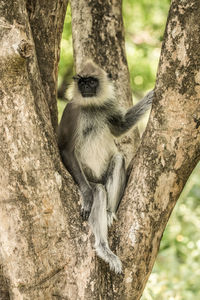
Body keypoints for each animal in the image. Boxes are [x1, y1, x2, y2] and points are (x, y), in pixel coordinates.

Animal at [57, 60, 153, 274]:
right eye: (82, 81)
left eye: (91, 81)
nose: (85, 87)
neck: (91, 106)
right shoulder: (71, 110)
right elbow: (65, 148)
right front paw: (87, 196)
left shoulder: (107, 106)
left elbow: (120, 127)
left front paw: (152, 95)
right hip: (88, 177)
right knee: (99, 191)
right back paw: (103, 248)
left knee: (117, 159)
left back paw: (109, 211)